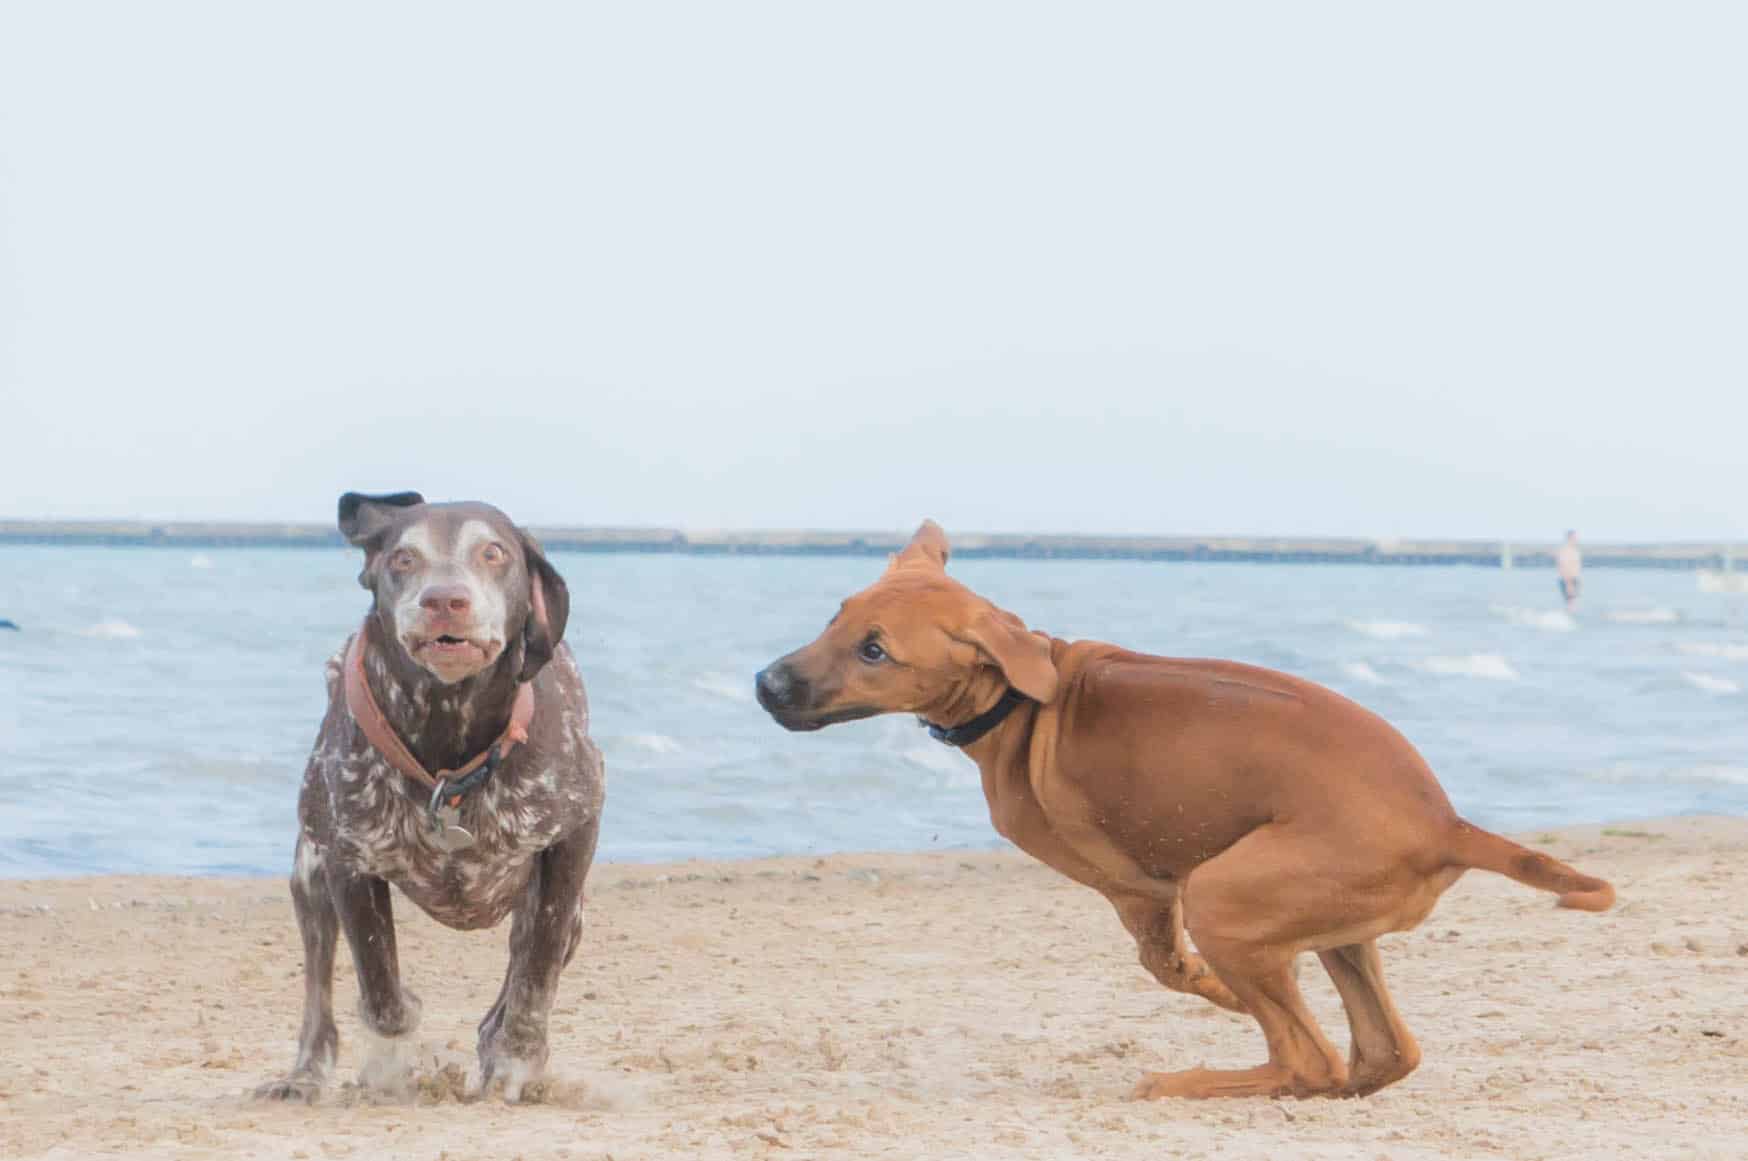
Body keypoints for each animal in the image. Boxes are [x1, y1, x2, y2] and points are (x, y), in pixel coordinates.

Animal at [253, 493, 608, 1105]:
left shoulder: (572, 842)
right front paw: (389, 1067)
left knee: (514, 981)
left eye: (493, 552)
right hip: (309, 877)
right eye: (403, 558)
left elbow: (535, 975)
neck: (449, 741)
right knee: (319, 990)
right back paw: (304, 1075)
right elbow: (382, 989)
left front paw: (516, 1062)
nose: (444, 600)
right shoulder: (349, 860)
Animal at [758, 521, 1615, 1105]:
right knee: (1376, 1054)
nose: (765, 683)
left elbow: (1166, 967)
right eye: (835, 617)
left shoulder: (1140, 889)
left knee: (1309, 1057)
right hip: (1339, 924)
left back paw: (1188, 1078)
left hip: (1222, 894)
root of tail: (1446, 822)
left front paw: (1220, 993)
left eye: (875, 651)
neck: (1018, 700)